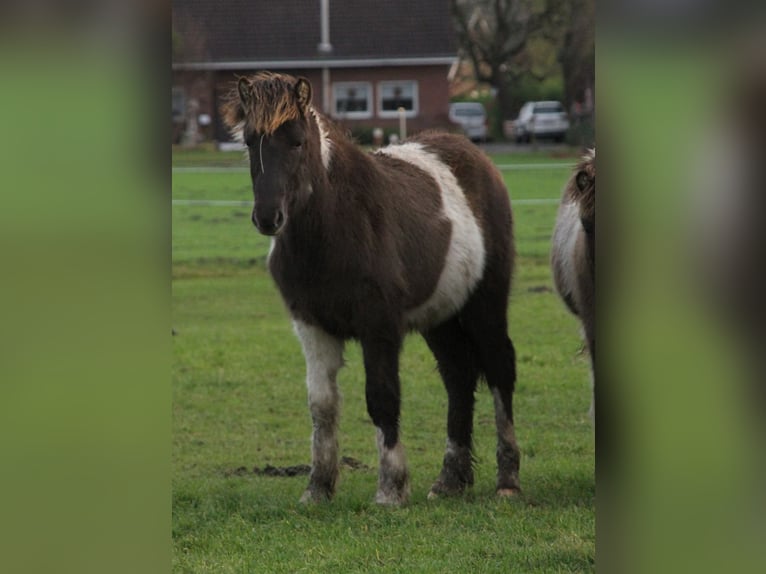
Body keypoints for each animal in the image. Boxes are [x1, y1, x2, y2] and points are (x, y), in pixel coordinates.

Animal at [221, 72, 520, 505]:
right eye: (249, 141)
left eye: (297, 141)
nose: (267, 217)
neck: (337, 226)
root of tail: (478, 158)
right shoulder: (312, 327)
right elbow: (322, 406)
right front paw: (317, 489)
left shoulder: (378, 326)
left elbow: (382, 397)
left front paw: (391, 489)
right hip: (439, 316)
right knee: (459, 376)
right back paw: (449, 480)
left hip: (486, 303)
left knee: (499, 369)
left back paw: (508, 481)